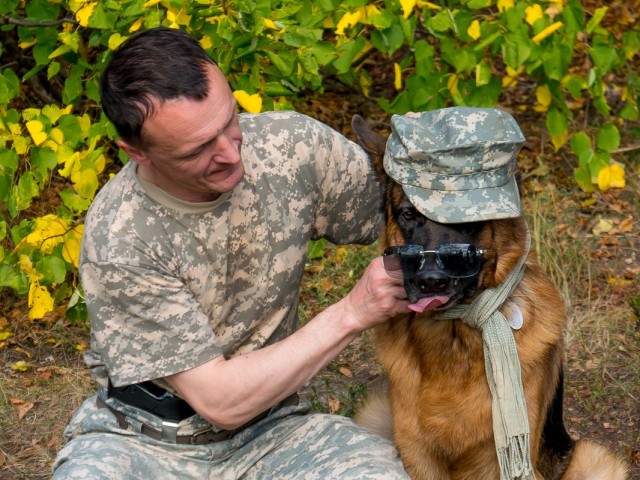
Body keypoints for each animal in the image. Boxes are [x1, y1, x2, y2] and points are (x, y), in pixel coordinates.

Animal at [350, 114, 624, 478]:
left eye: (468, 220)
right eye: (408, 215)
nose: (430, 281)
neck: (454, 340)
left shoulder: (500, 460)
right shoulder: (416, 453)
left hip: (594, 459)